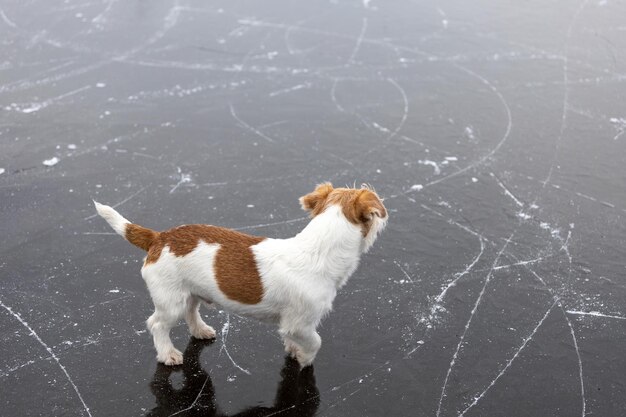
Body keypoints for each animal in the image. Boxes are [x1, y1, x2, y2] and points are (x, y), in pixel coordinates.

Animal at [94, 184, 386, 366]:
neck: (318, 249)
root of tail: (158, 237)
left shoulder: (292, 324)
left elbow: (294, 340)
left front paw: (293, 350)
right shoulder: (300, 323)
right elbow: (315, 342)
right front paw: (304, 359)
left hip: (190, 292)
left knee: (191, 311)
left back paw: (200, 330)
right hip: (170, 302)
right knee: (156, 325)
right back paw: (168, 354)